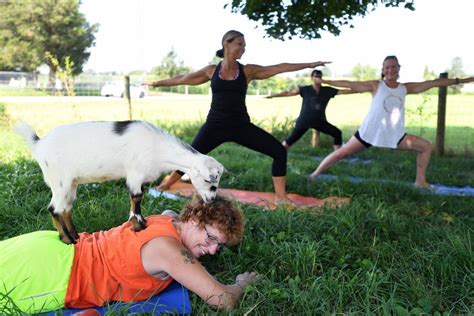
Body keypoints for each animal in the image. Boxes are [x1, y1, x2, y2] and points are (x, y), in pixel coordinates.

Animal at [16, 119, 224, 243]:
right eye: (210, 183)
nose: (211, 200)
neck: (159, 148)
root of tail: (39, 144)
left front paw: (140, 223)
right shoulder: (135, 174)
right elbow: (136, 197)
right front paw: (139, 225)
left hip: (71, 184)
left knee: (66, 209)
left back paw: (75, 236)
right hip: (60, 181)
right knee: (55, 209)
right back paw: (67, 240)